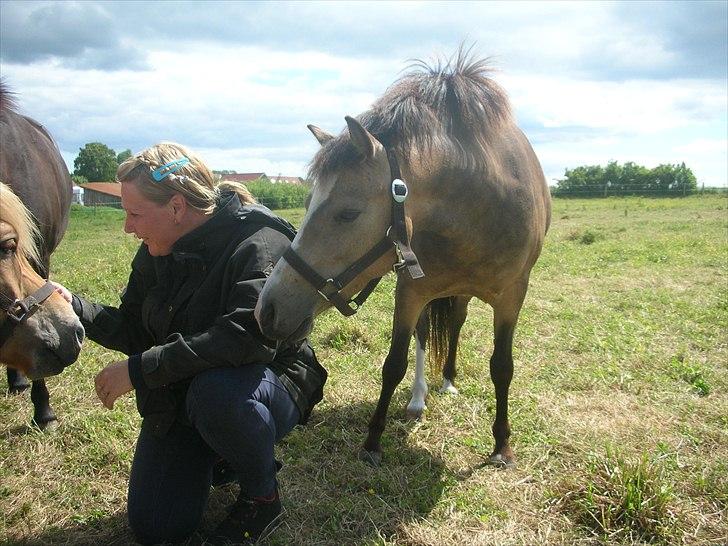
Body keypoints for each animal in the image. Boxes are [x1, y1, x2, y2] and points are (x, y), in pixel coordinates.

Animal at [255, 51, 551, 467]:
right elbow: (394, 362)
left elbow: (502, 367)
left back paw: (448, 380)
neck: (479, 206)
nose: (267, 309)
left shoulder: (513, 296)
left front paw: (502, 445)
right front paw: (373, 442)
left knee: (456, 323)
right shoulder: (411, 289)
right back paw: (418, 398)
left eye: (348, 213)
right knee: (428, 332)